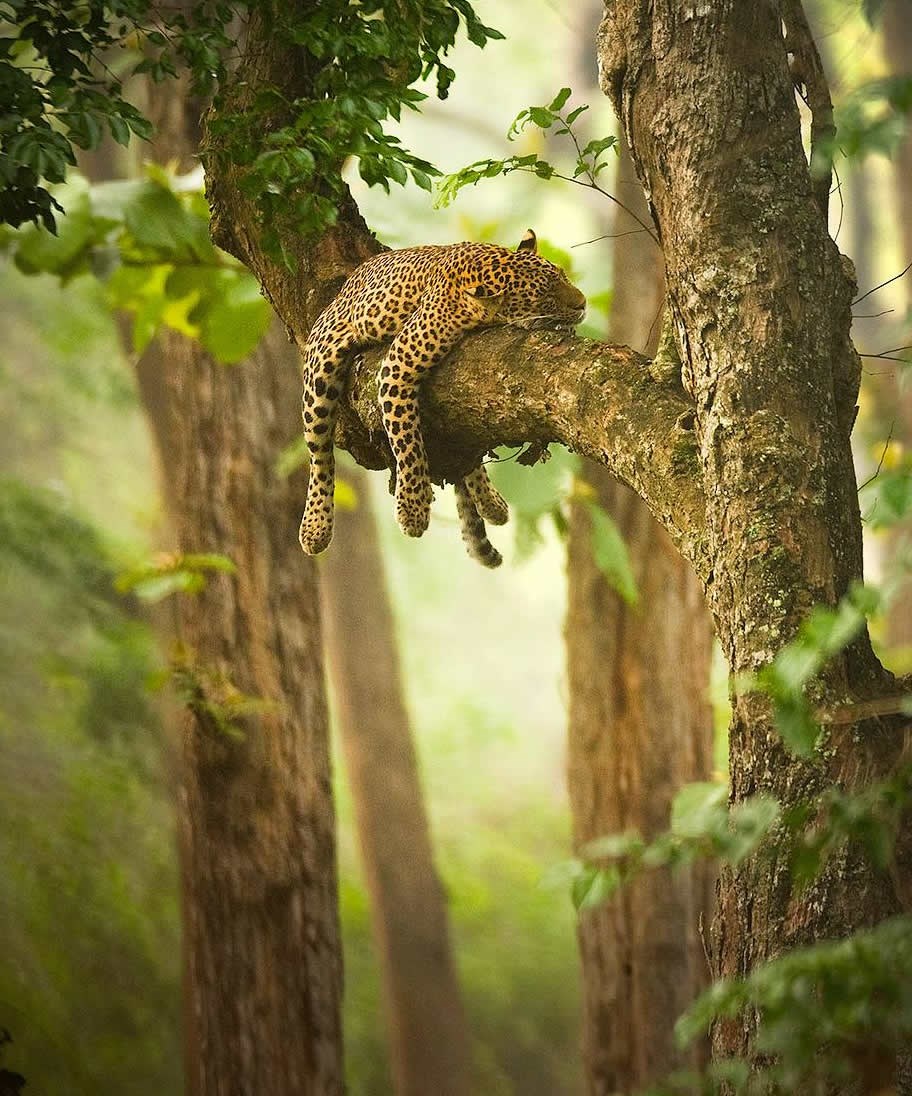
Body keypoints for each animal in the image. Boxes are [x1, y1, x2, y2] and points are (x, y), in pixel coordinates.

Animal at [298, 229, 586, 567]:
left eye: (564, 276)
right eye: (544, 297)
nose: (582, 303)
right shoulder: (397, 365)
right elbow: (407, 441)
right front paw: (413, 509)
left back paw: (491, 503)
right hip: (321, 365)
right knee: (319, 453)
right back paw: (314, 529)